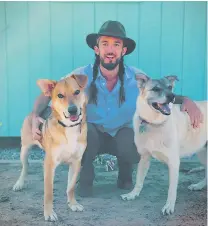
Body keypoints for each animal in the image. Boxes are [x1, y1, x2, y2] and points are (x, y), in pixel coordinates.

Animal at [13, 74, 88, 221]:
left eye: (77, 92)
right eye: (60, 95)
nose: (72, 110)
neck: (69, 128)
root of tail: (33, 112)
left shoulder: (76, 162)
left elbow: (71, 187)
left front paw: (73, 204)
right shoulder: (49, 164)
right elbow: (48, 193)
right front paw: (49, 213)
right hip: (24, 149)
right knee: (25, 166)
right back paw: (19, 183)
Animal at [121, 74, 207, 215]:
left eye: (170, 87)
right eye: (156, 89)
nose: (172, 96)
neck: (154, 123)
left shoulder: (173, 162)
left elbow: (171, 190)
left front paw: (169, 206)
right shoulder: (144, 157)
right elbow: (139, 180)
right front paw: (132, 194)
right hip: (202, 153)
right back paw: (198, 186)